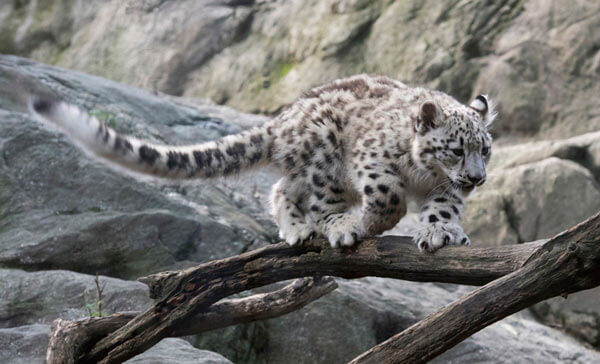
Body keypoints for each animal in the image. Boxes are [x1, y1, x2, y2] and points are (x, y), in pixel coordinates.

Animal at [30, 74, 494, 253]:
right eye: (456, 149)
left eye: (485, 149)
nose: (477, 178)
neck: (425, 174)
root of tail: (283, 119)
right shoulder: (374, 161)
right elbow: (388, 196)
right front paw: (370, 224)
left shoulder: (445, 187)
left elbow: (443, 206)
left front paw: (440, 232)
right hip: (326, 159)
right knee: (304, 193)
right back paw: (329, 227)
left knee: (282, 187)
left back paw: (297, 227)